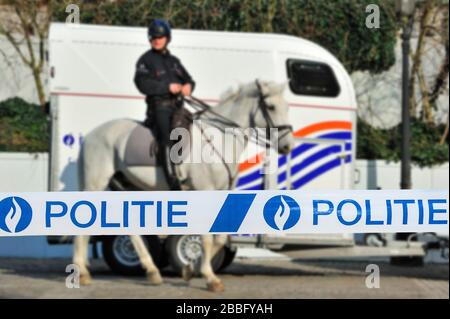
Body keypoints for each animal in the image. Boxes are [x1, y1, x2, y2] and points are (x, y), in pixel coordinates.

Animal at [73, 80, 296, 292]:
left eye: (287, 106)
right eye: (271, 106)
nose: (288, 146)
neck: (219, 140)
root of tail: (92, 135)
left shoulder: (223, 192)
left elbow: (220, 238)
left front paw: (191, 269)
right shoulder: (205, 191)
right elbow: (206, 237)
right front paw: (210, 278)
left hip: (127, 185)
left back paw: (151, 271)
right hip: (96, 183)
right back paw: (82, 273)